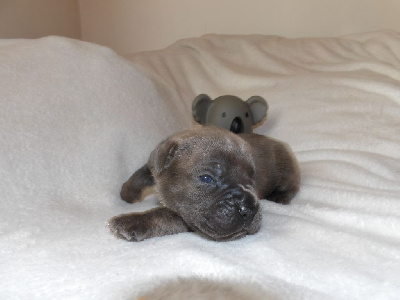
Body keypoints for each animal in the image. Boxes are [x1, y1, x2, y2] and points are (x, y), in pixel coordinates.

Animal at [109, 125, 300, 243]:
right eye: (207, 178)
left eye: (252, 180)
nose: (248, 209)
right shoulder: (153, 163)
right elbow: (141, 173)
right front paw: (127, 192)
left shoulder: (185, 216)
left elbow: (161, 214)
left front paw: (130, 221)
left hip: (288, 169)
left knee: (291, 186)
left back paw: (279, 197)